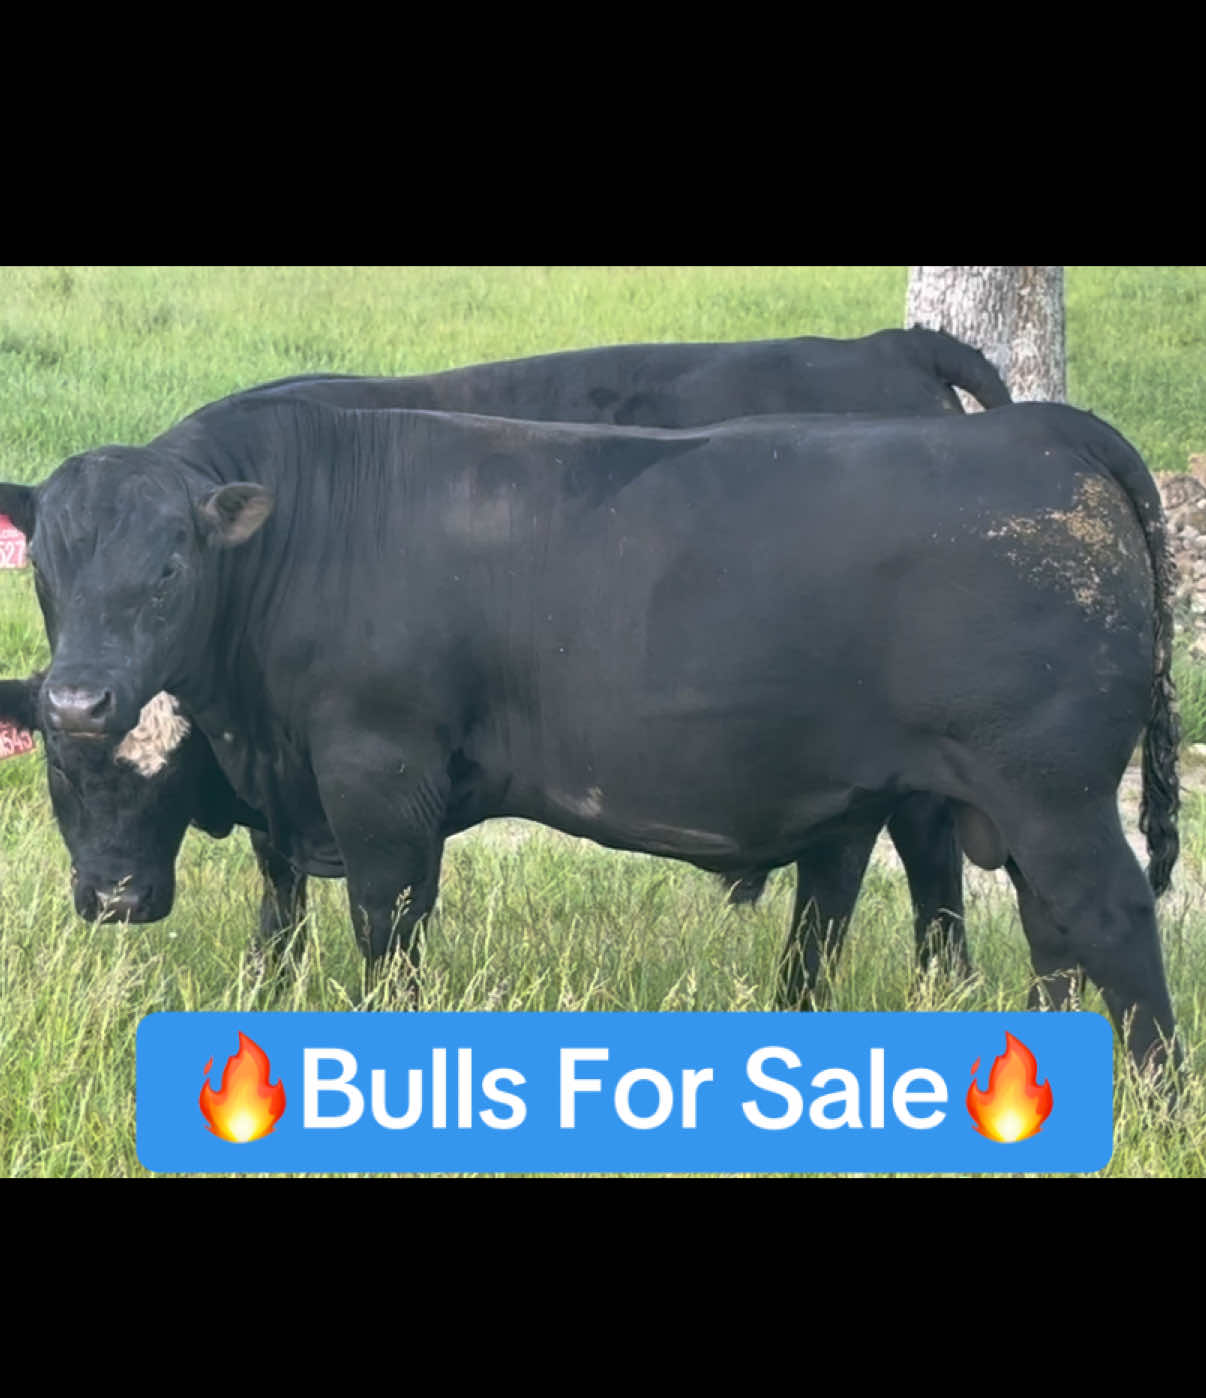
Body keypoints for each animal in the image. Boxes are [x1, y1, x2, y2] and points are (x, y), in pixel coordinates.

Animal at [0, 396, 1180, 1073]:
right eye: (46, 569)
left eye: (169, 567)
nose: (80, 702)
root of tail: (1044, 426)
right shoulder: (293, 801)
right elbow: (278, 922)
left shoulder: (379, 776)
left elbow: (388, 927)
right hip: (1011, 806)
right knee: (1053, 936)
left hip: (1054, 789)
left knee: (1109, 920)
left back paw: (1160, 1095)